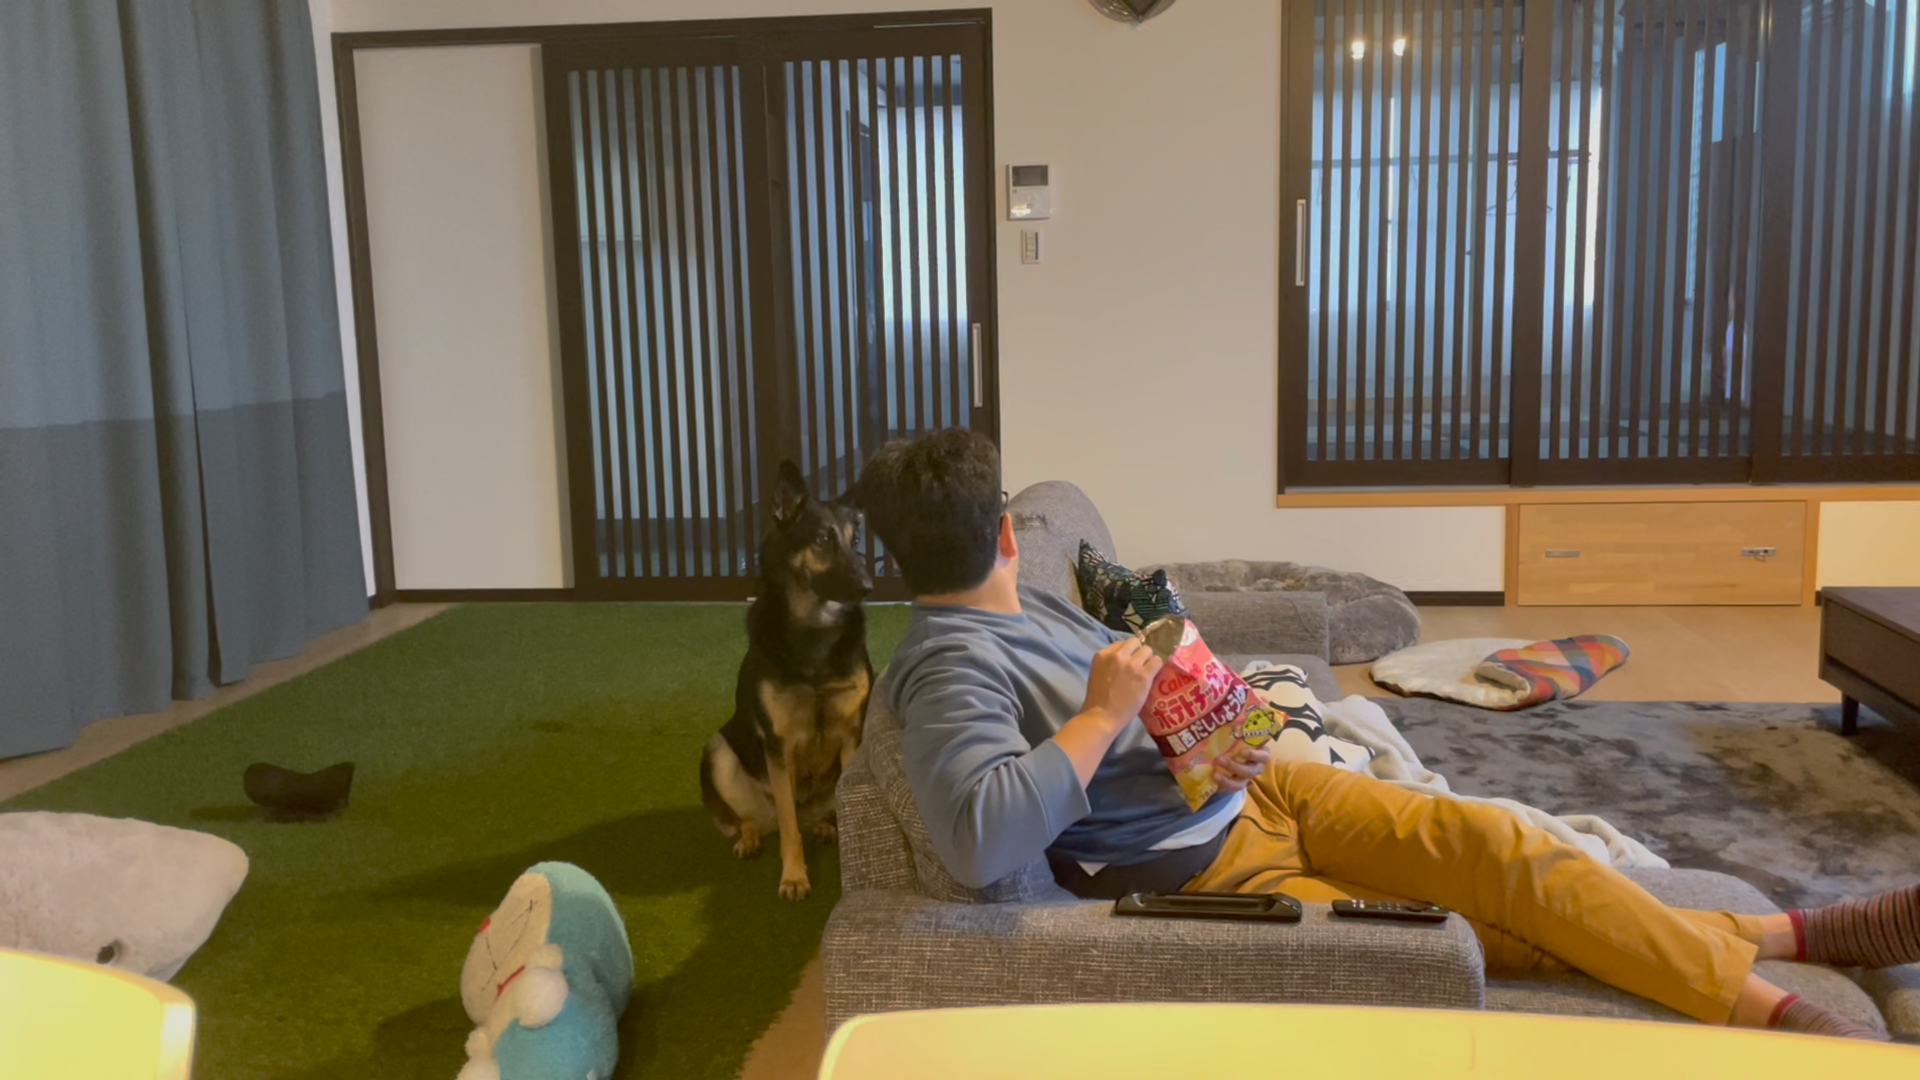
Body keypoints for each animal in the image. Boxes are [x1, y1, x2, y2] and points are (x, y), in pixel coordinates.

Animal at [699, 460, 873, 900]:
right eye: (823, 538)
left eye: (856, 539)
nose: (869, 586)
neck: (816, 629)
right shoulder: (779, 746)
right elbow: (790, 827)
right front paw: (794, 875)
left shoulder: (851, 734)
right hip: (719, 752)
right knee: (764, 820)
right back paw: (750, 838)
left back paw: (825, 827)